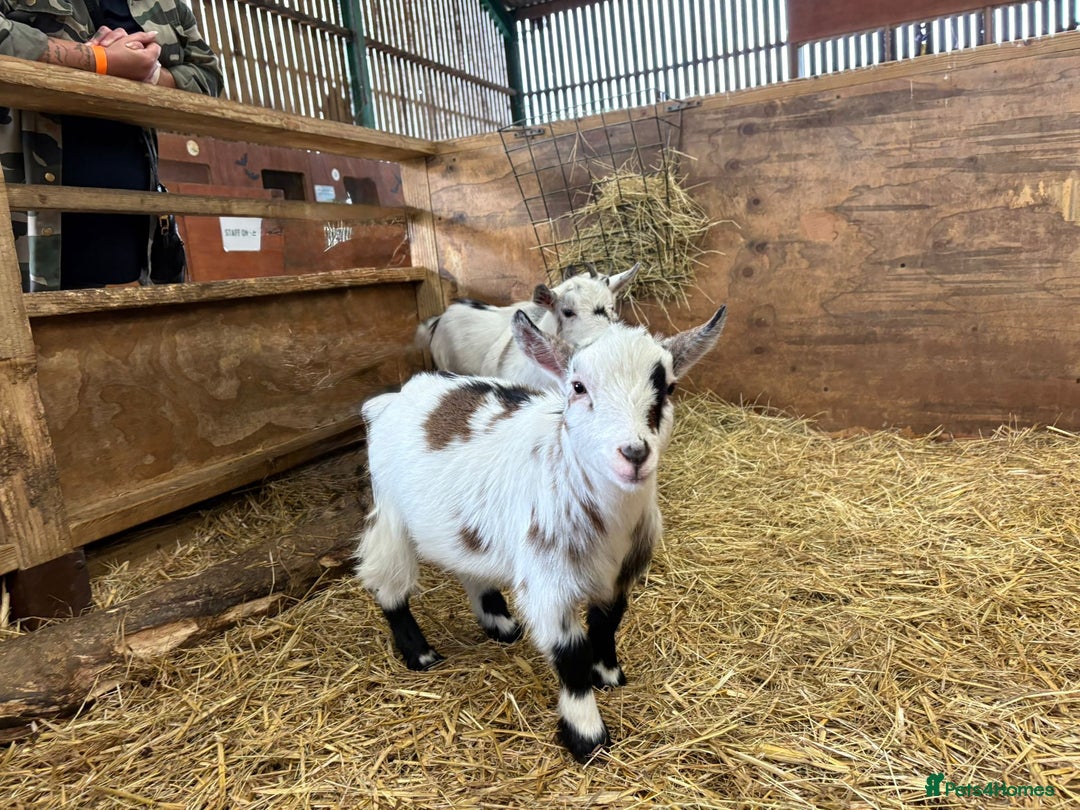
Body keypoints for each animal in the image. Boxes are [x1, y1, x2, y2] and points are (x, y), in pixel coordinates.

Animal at [355, 304, 727, 761]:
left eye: (669, 388)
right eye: (578, 387)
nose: (634, 454)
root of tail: (397, 396)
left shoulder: (619, 575)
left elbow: (607, 624)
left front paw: (608, 675)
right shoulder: (549, 584)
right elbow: (570, 654)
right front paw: (587, 735)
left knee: (469, 566)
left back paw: (500, 623)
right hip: (389, 508)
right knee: (387, 580)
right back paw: (420, 653)